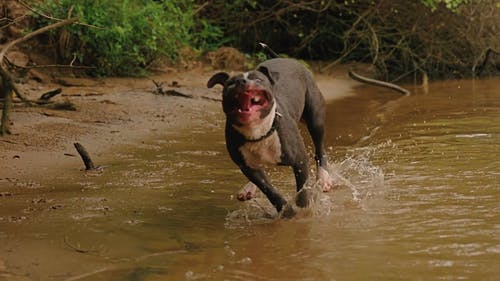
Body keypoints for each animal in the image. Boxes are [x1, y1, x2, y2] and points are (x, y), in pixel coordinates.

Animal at [207, 57, 332, 213]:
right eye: (230, 83)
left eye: (258, 79)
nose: (242, 81)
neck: (257, 132)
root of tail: (289, 59)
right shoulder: (247, 167)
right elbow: (268, 189)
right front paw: (285, 209)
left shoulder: (300, 161)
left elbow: (302, 190)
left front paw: (303, 210)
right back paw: (248, 188)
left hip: (315, 119)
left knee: (320, 148)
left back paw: (324, 177)